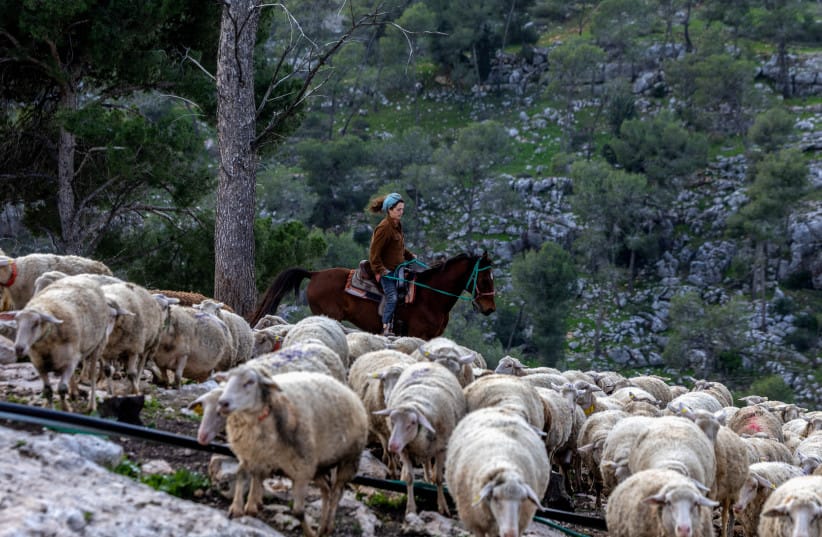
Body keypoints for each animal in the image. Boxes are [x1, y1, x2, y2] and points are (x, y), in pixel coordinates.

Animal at [0, 274, 119, 412]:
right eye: (16, 322)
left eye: (36, 323)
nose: (19, 348)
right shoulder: (39, 364)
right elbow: (48, 391)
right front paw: (51, 407)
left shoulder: (71, 361)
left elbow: (62, 388)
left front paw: (66, 408)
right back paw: (74, 393)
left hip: (98, 345)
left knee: (93, 376)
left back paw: (91, 405)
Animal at [217, 369, 368, 537]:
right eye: (227, 380)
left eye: (250, 382)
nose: (222, 403)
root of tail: (349, 391)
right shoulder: (252, 455)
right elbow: (241, 474)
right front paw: (239, 507)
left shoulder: (301, 470)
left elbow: (298, 511)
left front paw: (309, 533)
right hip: (319, 465)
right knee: (326, 490)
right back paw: (322, 527)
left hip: (348, 459)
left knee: (336, 493)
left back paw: (328, 526)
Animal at [374, 361, 467, 517]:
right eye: (392, 420)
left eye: (412, 423)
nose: (392, 446)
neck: (414, 403)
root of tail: (427, 362)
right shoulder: (405, 450)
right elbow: (410, 478)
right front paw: (410, 508)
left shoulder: (441, 449)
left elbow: (439, 479)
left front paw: (443, 506)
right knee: (424, 463)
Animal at [445, 407, 550, 537]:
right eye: (495, 498)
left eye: (522, 500)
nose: (510, 534)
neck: (505, 466)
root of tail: (500, 408)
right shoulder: (476, 522)